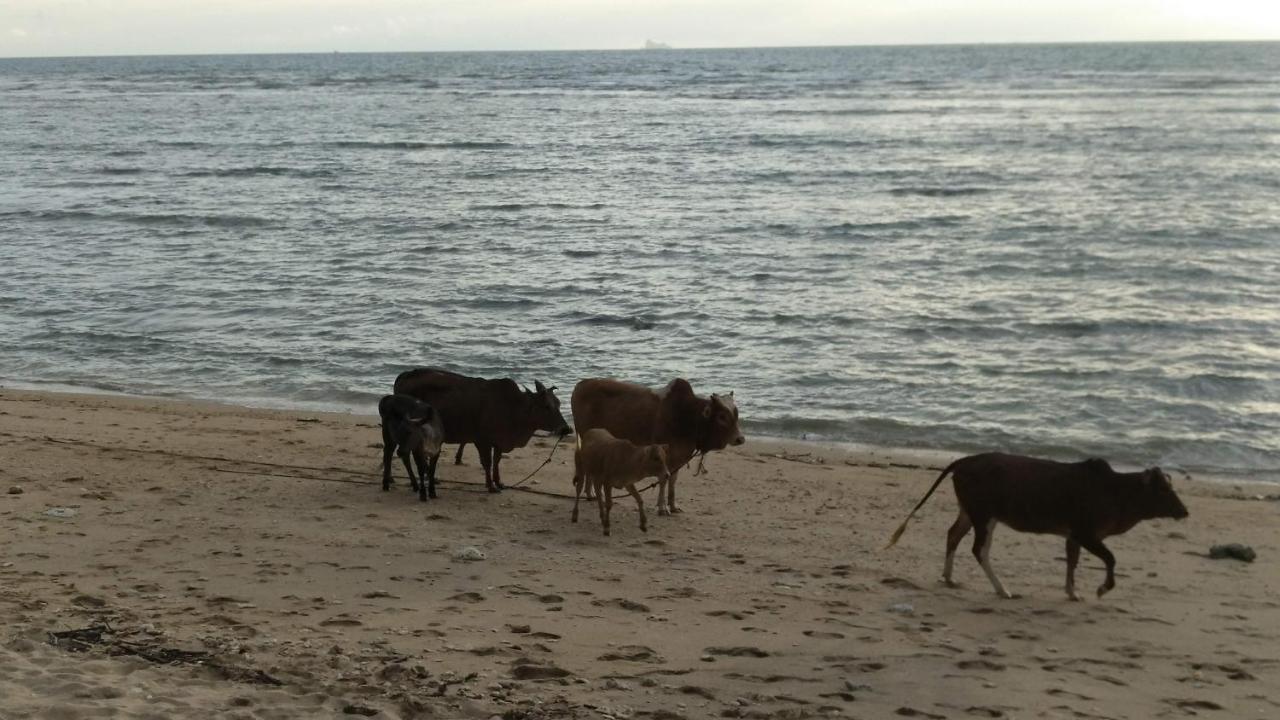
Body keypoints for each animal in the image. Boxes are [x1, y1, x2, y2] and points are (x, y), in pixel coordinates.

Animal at [391, 366, 568, 489]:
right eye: (546, 406)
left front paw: (499, 482)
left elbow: (496, 461)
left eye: (559, 404)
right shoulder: (482, 441)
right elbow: (487, 463)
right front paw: (490, 486)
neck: (513, 407)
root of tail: (405, 374)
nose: (566, 429)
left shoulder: (498, 442)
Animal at [568, 376, 742, 515]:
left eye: (736, 413)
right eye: (721, 416)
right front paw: (662, 508)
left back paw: (592, 494)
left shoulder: (679, 457)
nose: (740, 439)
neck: (686, 415)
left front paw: (673, 505)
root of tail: (581, 384)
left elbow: (673, 480)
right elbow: (664, 479)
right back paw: (592, 494)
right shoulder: (664, 455)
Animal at [890, 450, 1187, 597]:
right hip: (984, 515)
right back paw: (1003, 589)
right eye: (1164, 490)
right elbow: (1110, 559)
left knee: (953, 535)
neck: (1114, 490)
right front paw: (1102, 589)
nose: (1184, 511)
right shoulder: (1086, 533)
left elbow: (1072, 561)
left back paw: (950, 576)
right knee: (979, 549)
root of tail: (964, 461)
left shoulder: (1073, 536)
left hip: (972, 511)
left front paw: (1072, 592)